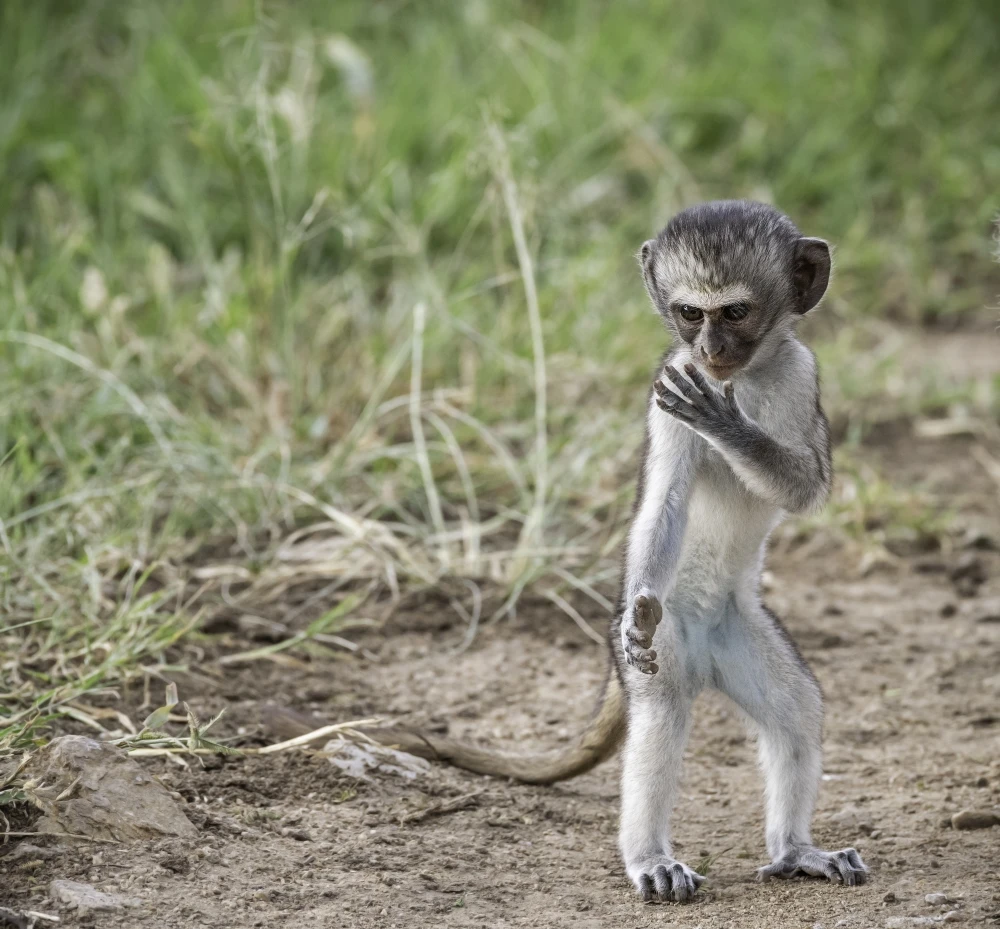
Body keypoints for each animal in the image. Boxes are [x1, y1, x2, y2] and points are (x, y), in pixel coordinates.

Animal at [311, 200, 869, 902]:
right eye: (692, 313)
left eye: (736, 312)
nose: (710, 351)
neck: (744, 377)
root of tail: (707, 640)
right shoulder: (669, 384)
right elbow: (664, 500)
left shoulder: (801, 372)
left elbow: (807, 486)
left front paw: (730, 427)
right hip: (665, 643)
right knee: (661, 713)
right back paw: (650, 855)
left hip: (740, 630)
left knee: (797, 712)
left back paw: (794, 850)